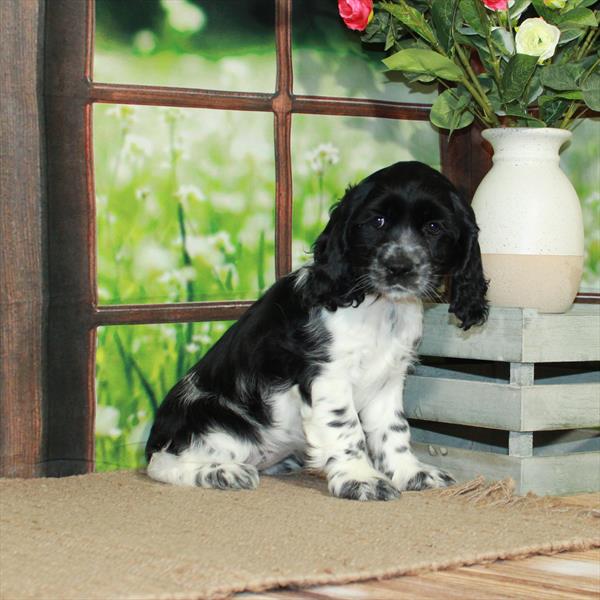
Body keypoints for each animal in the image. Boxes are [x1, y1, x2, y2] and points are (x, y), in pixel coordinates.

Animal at [145, 161, 488, 502]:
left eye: (434, 228)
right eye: (377, 221)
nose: (399, 267)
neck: (378, 306)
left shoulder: (389, 379)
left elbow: (394, 429)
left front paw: (411, 473)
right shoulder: (328, 375)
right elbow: (347, 428)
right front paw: (361, 479)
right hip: (217, 420)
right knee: (161, 464)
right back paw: (223, 473)